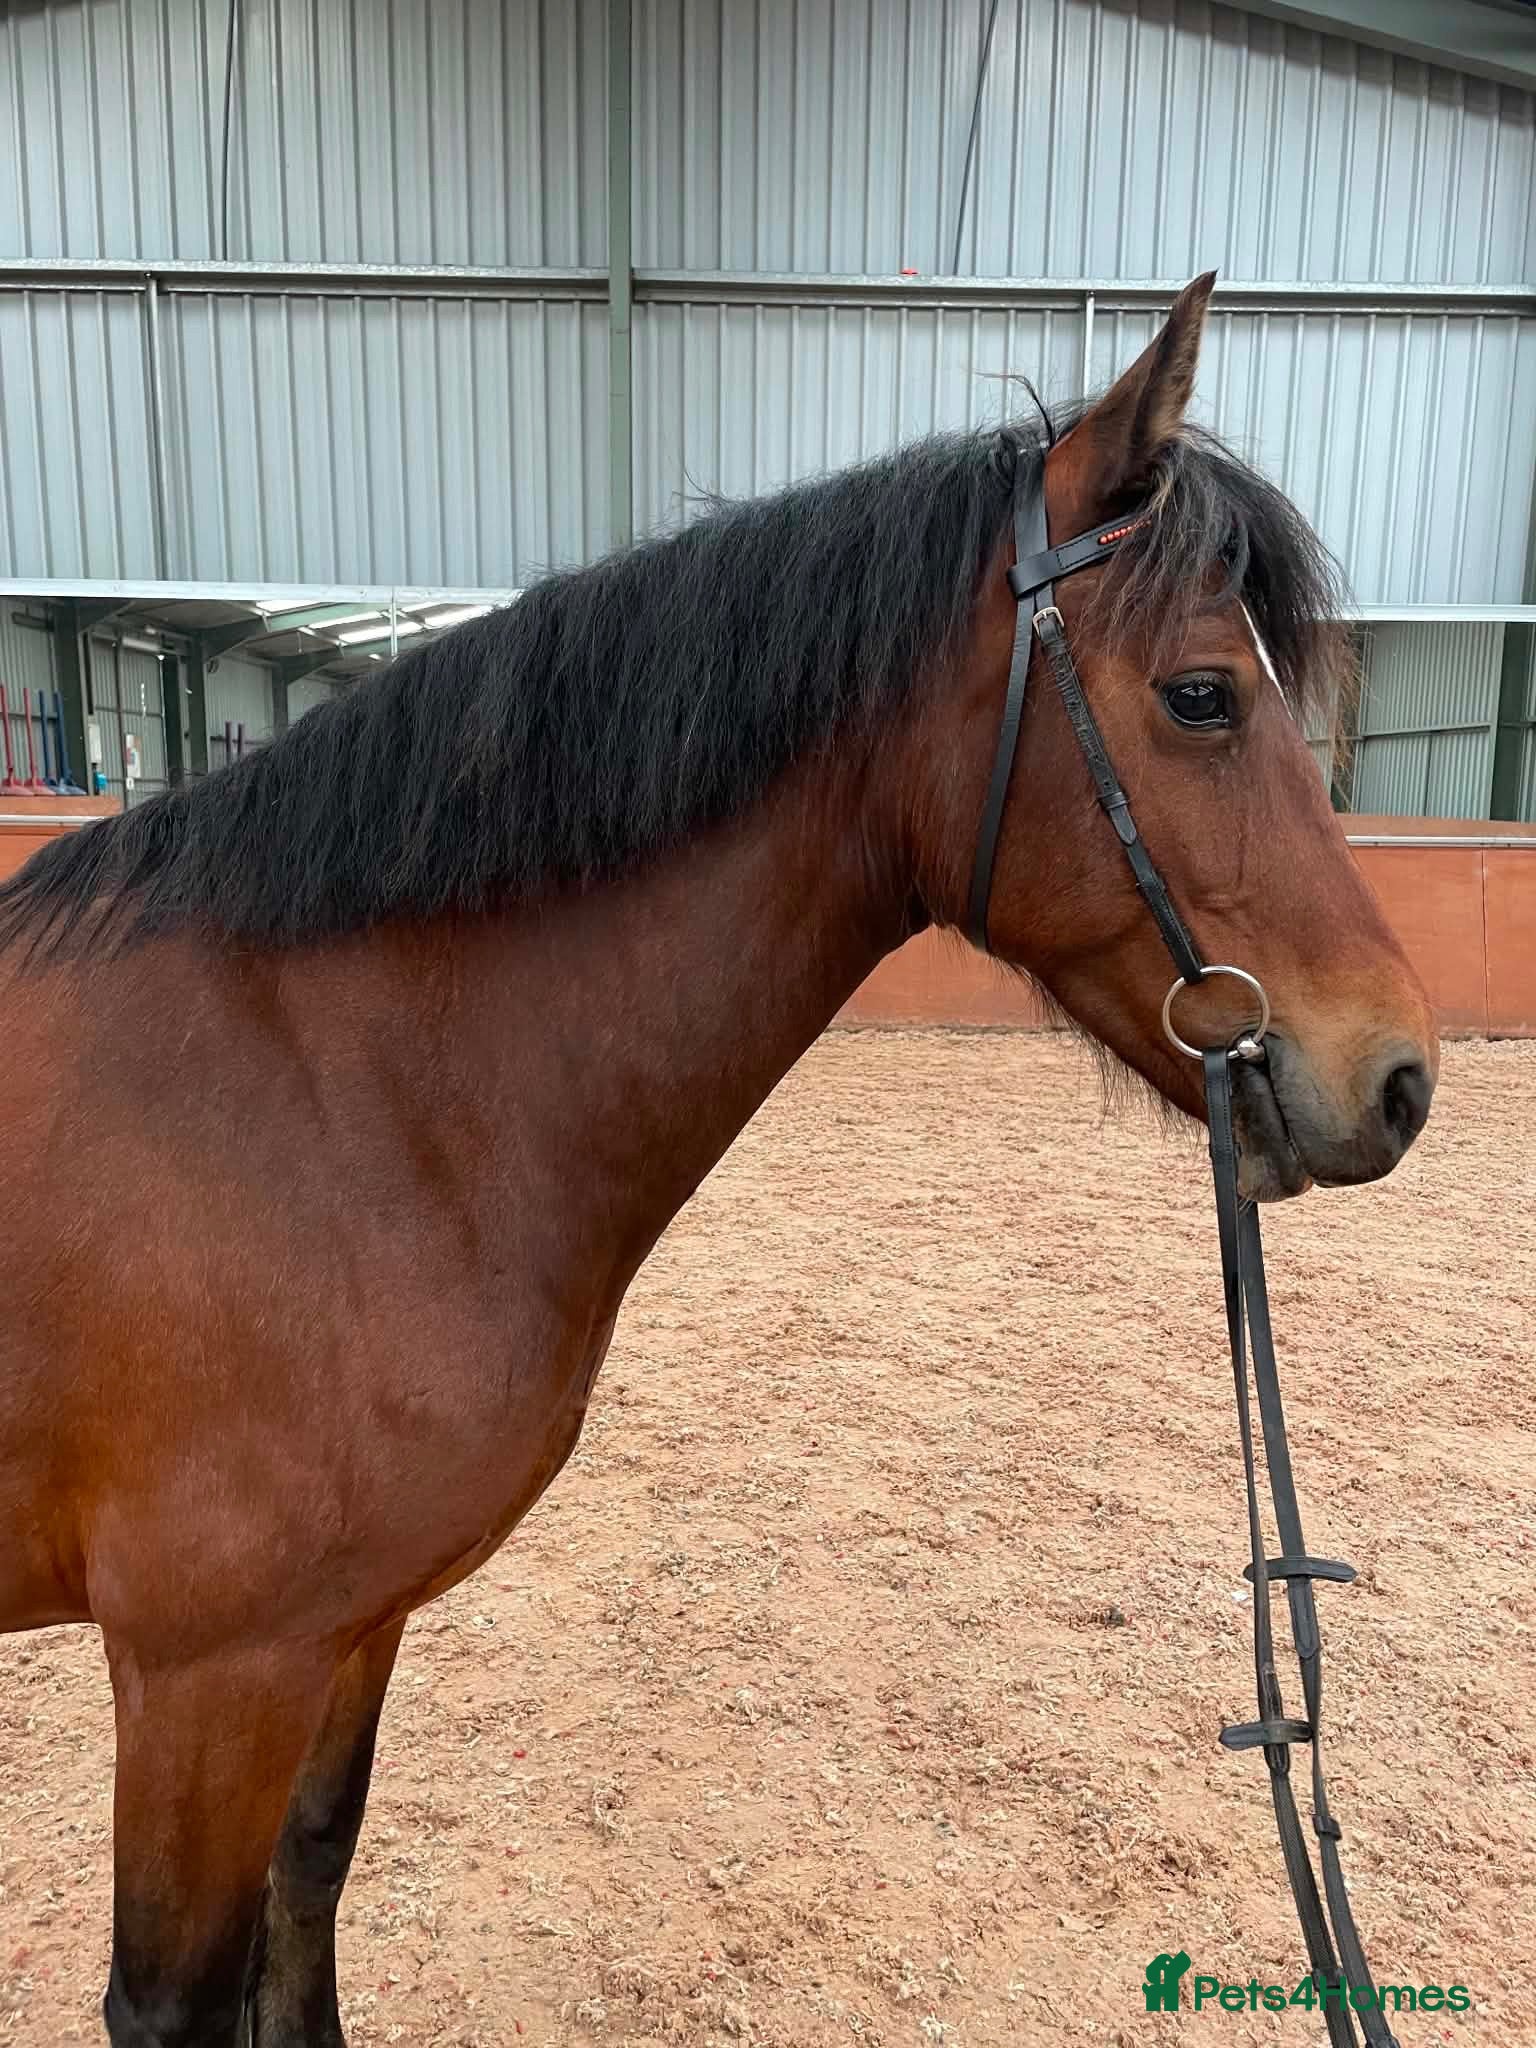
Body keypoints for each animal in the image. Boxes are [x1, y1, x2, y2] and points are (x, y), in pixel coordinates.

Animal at [0, 272, 1436, 2047]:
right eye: (1200, 696)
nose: (1399, 1079)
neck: (323, 1089)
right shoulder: (208, 1675)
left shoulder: (341, 1635)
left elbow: (309, 1897)